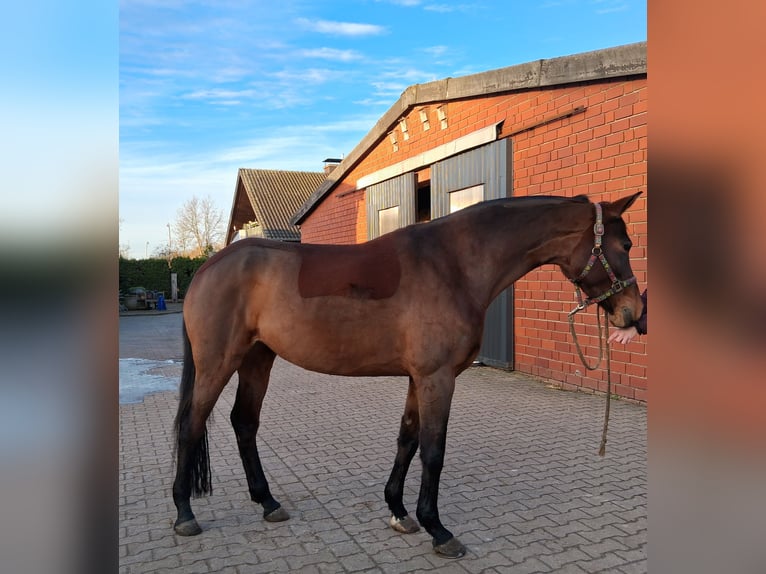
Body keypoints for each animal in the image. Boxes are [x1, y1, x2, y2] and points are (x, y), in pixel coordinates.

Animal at [172, 192, 644, 558]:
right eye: (624, 243)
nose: (634, 315)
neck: (454, 265)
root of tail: (209, 266)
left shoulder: (419, 379)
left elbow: (408, 439)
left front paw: (399, 512)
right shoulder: (438, 378)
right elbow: (433, 452)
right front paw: (438, 528)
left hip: (258, 359)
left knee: (243, 422)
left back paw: (268, 502)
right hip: (219, 363)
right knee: (192, 426)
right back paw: (184, 514)